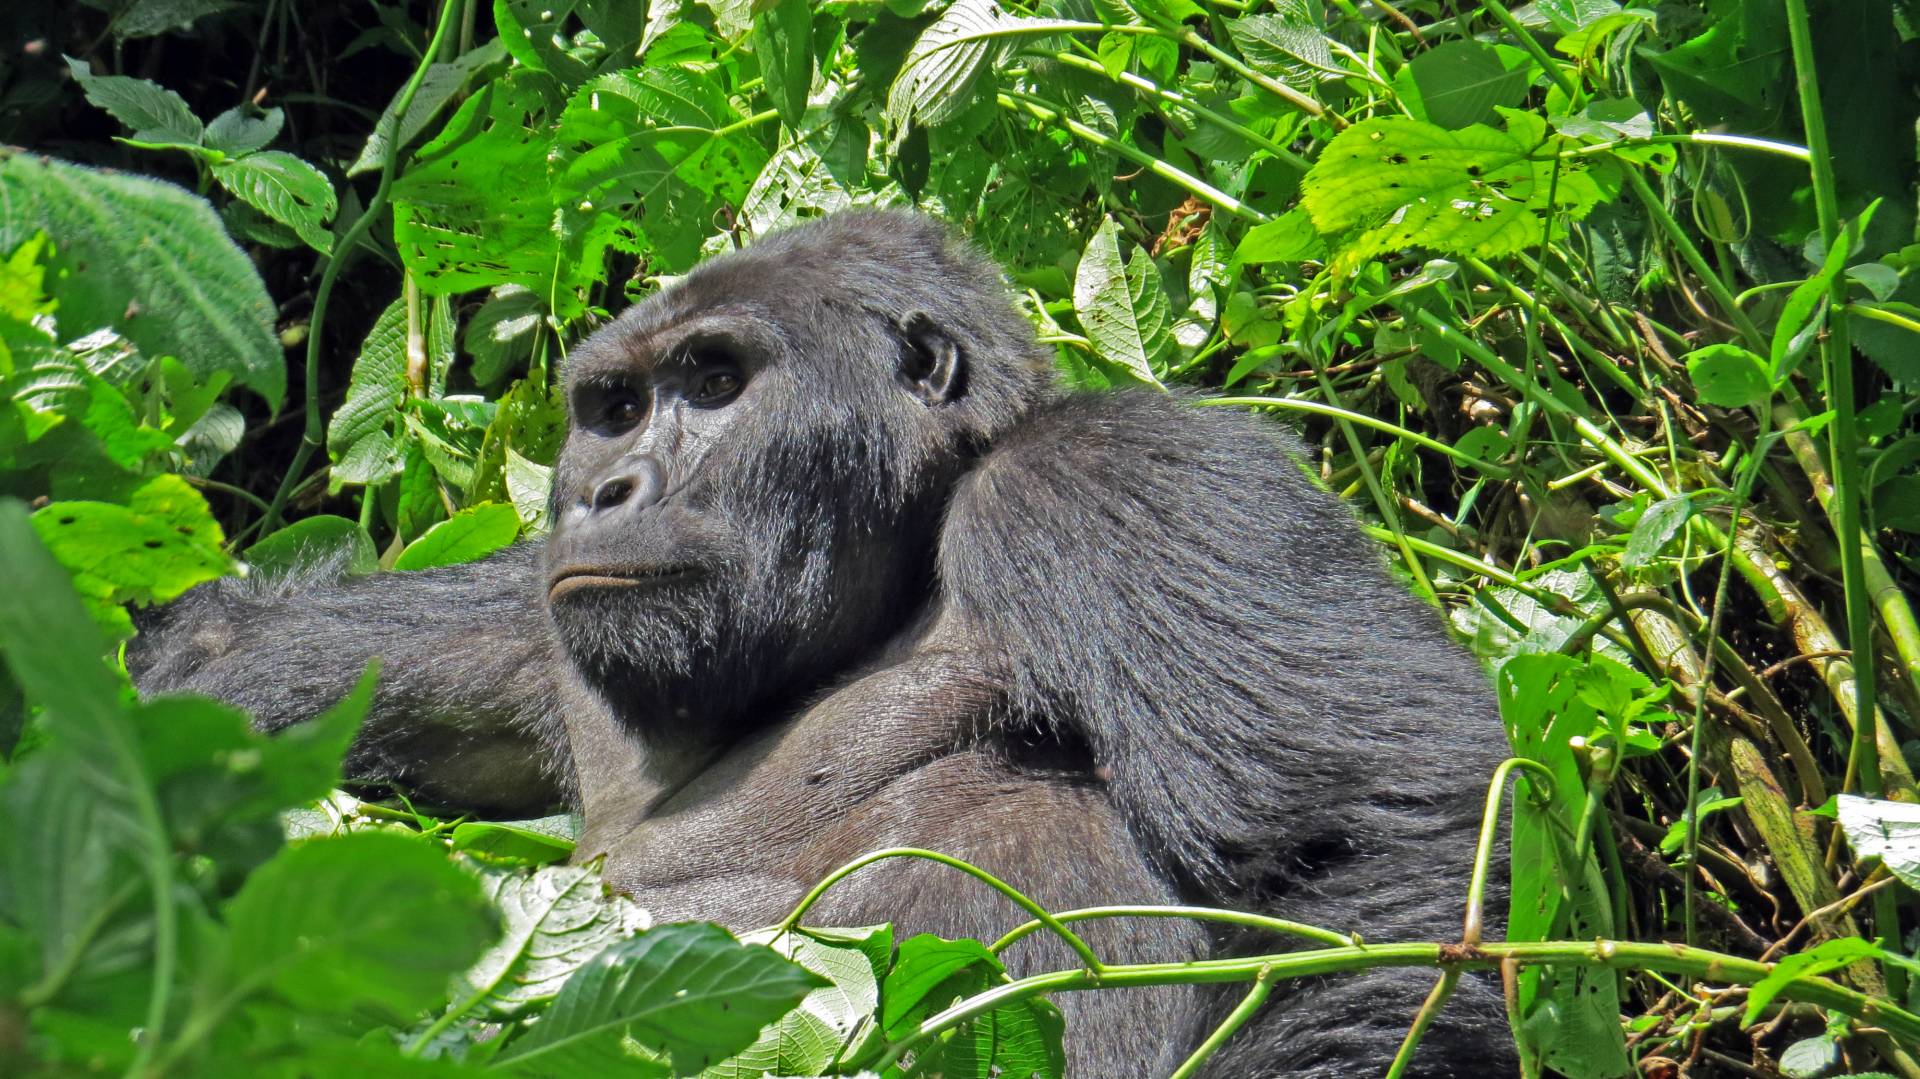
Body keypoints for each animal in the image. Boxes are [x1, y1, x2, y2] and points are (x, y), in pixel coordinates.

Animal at [131, 210, 1512, 1075]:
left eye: (714, 381)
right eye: (613, 404)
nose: (607, 489)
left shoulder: (1126, 474)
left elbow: (1354, 852)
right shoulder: (552, 610)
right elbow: (233, 669)